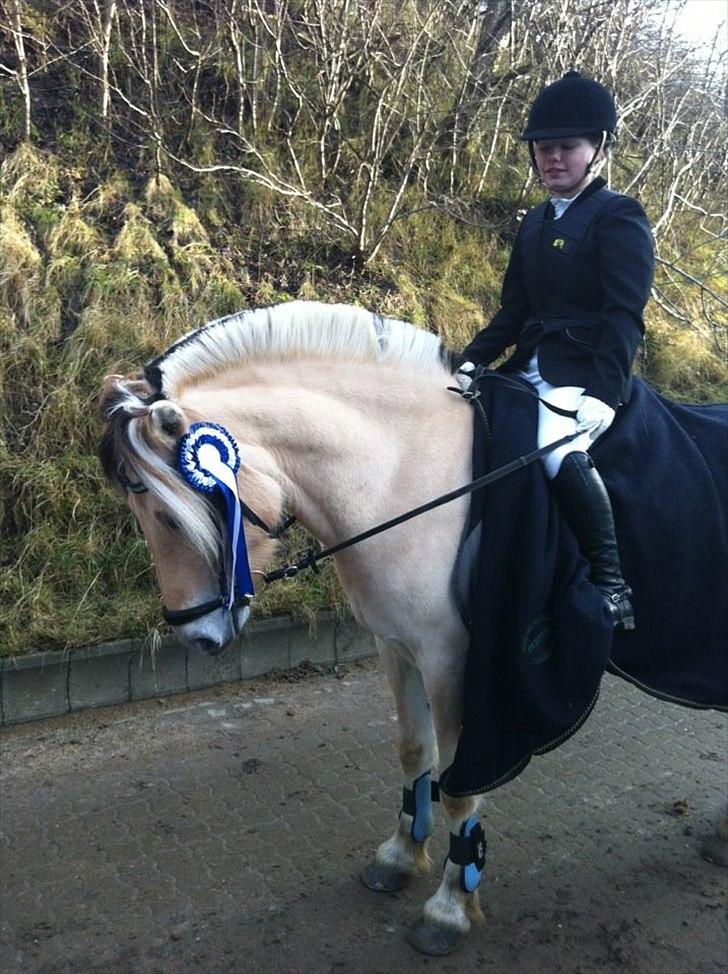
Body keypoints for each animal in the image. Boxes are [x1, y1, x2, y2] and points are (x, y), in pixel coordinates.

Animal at [98, 300, 726, 956]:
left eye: (171, 516)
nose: (196, 637)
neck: (400, 470)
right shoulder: (395, 647)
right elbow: (413, 752)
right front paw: (400, 855)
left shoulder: (454, 661)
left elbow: (459, 785)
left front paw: (448, 908)